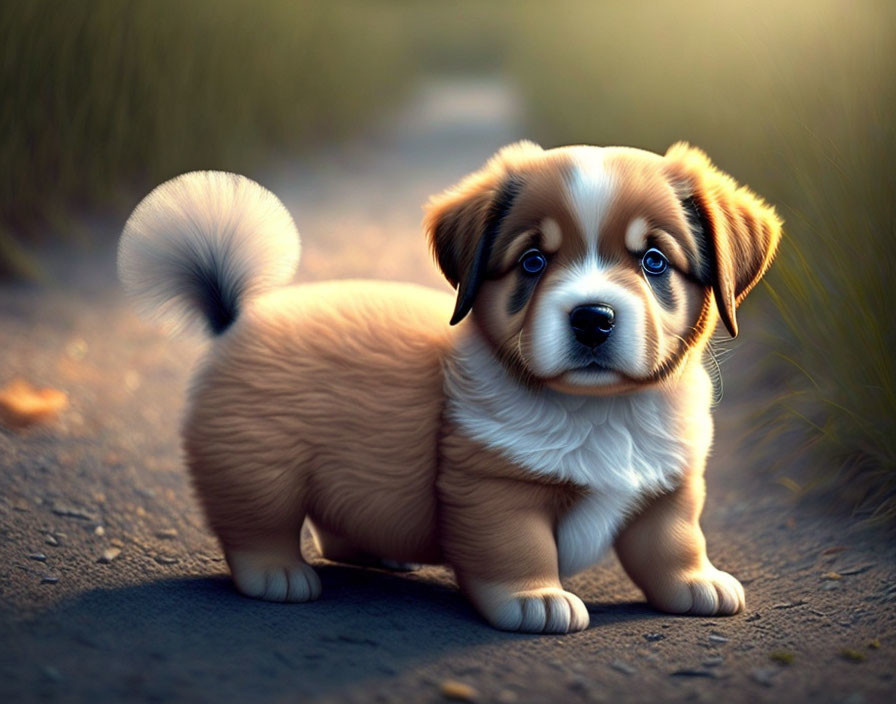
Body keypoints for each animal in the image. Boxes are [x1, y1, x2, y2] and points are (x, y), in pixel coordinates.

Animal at [121, 142, 784, 632]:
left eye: (653, 261)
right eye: (533, 262)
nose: (592, 318)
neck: (599, 411)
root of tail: (237, 317)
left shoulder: (669, 487)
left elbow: (674, 543)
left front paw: (698, 584)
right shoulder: (492, 490)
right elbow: (518, 548)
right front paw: (536, 599)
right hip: (257, 465)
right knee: (254, 525)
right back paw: (277, 575)